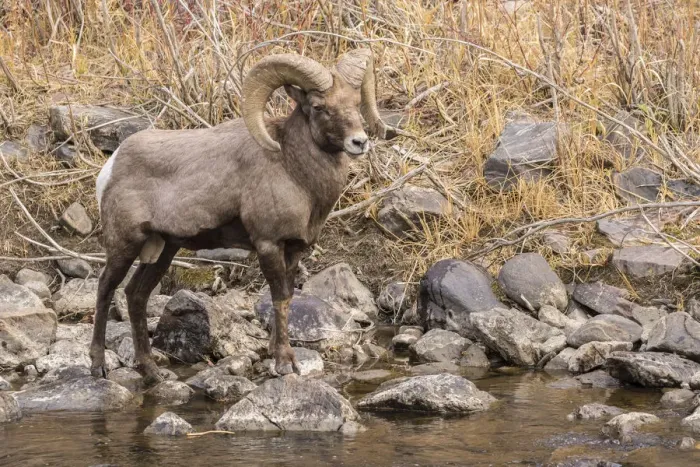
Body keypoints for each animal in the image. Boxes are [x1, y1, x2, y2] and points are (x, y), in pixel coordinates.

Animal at [90, 49, 397, 384]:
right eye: (319, 107)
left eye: (355, 102)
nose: (359, 142)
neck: (293, 170)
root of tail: (111, 167)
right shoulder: (268, 244)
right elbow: (278, 297)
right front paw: (285, 363)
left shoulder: (294, 249)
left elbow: (288, 297)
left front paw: (275, 354)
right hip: (125, 244)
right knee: (105, 288)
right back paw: (98, 367)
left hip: (163, 250)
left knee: (136, 295)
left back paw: (152, 372)